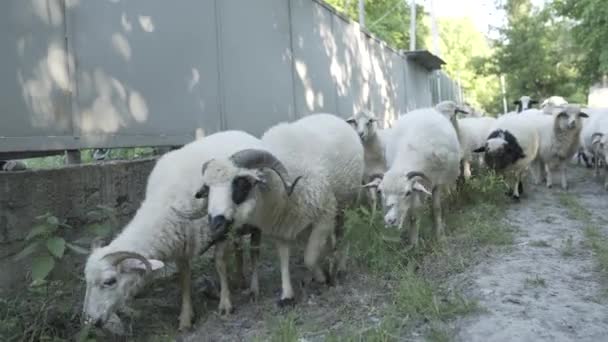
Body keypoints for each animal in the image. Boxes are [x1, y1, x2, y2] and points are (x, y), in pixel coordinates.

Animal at [81, 129, 264, 332]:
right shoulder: (180, 243)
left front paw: (225, 304)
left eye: (109, 281)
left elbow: (220, 263)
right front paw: (186, 317)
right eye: (87, 280)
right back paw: (240, 279)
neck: (166, 203)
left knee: (250, 248)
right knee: (238, 246)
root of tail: (240, 131)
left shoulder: (220, 228)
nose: (91, 321)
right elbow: (184, 278)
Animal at [198, 113, 366, 306]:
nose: (215, 224)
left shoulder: (325, 214)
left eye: (241, 183)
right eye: (207, 189)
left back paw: (340, 266)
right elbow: (284, 259)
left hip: (347, 203)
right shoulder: (280, 226)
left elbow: (309, 258)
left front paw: (323, 276)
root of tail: (331, 116)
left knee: (342, 235)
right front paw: (287, 295)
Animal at [366, 106, 460, 246]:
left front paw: (438, 236)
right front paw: (412, 242)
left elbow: (436, 208)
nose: (390, 220)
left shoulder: (436, 182)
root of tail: (423, 109)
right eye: (379, 192)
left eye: (407, 193)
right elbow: (413, 215)